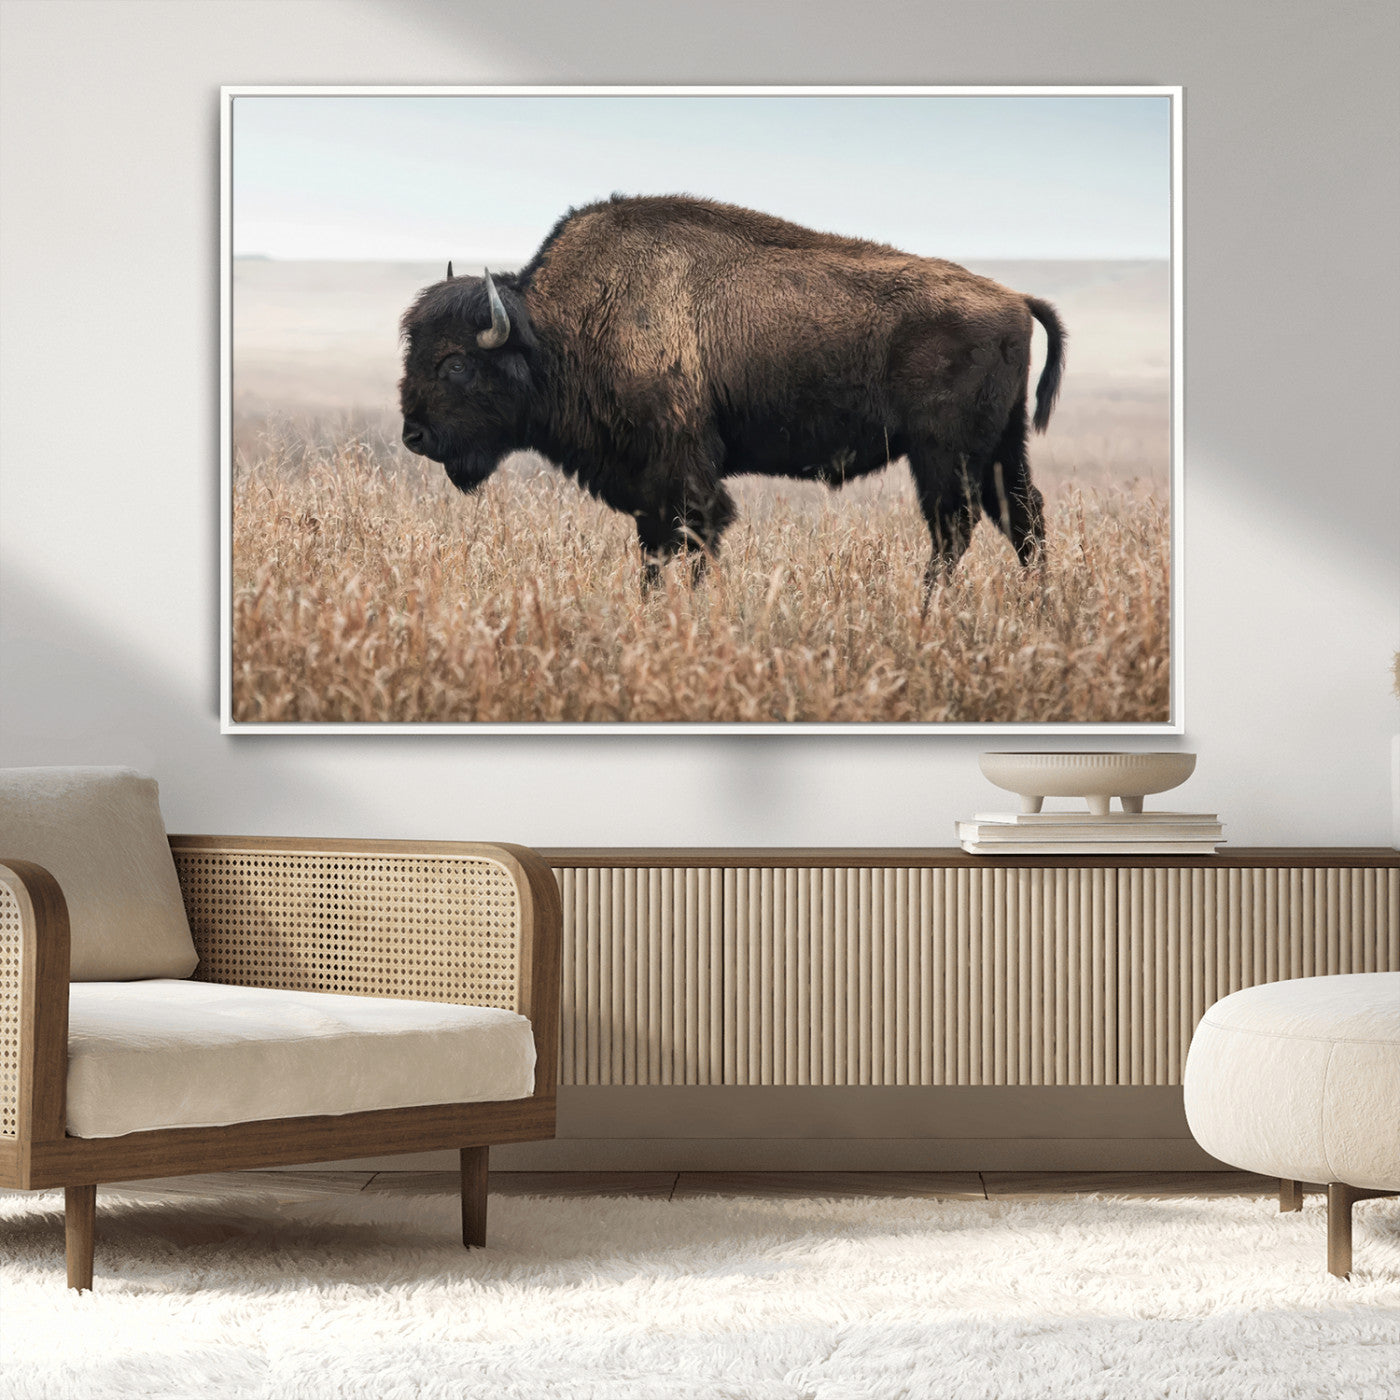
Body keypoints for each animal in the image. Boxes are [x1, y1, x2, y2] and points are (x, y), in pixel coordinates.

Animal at [399, 194, 1064, 590]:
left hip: (943, 454)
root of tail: (1013, 298)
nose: (413, 435)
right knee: (1023, 519)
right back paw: (1036, 609)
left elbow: (693, 538)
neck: (558, 327)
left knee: (955, 528)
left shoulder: (683, 473)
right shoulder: (648, 486)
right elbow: (655, 550)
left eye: (455, 364)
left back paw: (929, 610)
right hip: (1001, 449)